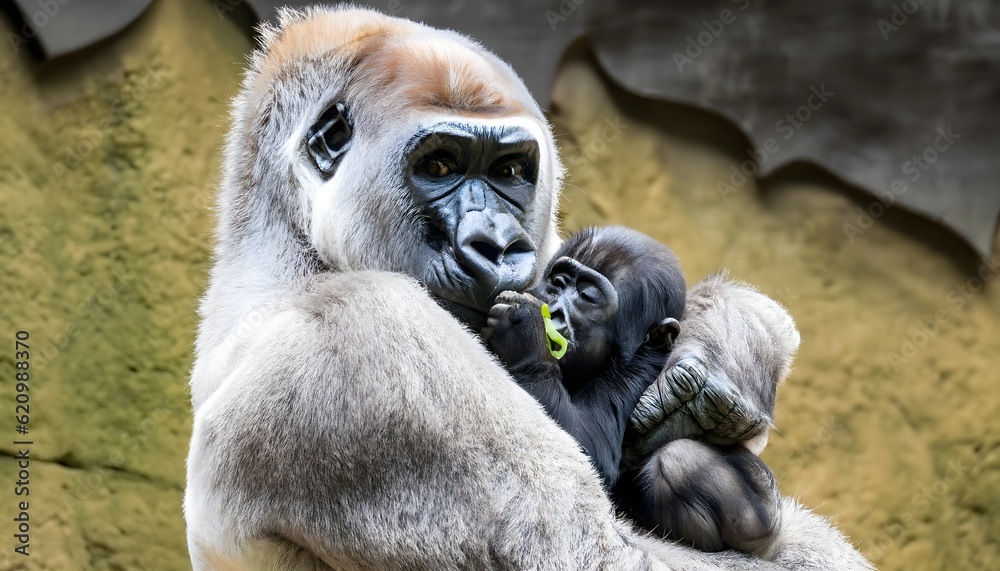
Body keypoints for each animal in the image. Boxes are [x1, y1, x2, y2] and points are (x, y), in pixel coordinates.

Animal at [184, 6, 874, 570]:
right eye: (439, 165)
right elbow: (602, 547)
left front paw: (717, 354)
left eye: (510, 171)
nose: (501, 246)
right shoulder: (364, 339)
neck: (295, 248)